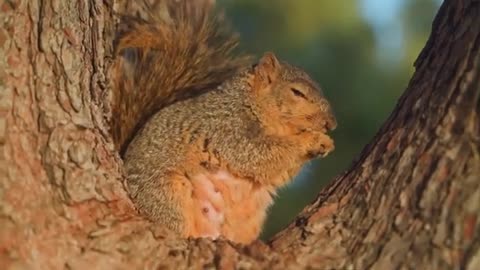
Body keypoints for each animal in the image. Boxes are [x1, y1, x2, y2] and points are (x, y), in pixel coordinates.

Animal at [112, 0, 338, 245]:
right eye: (297, 92)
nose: (331, 124)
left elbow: (278, 172)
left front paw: (325, 143)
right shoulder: (227, 127)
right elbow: (257, 154)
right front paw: (312, 139)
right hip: (166, 195)